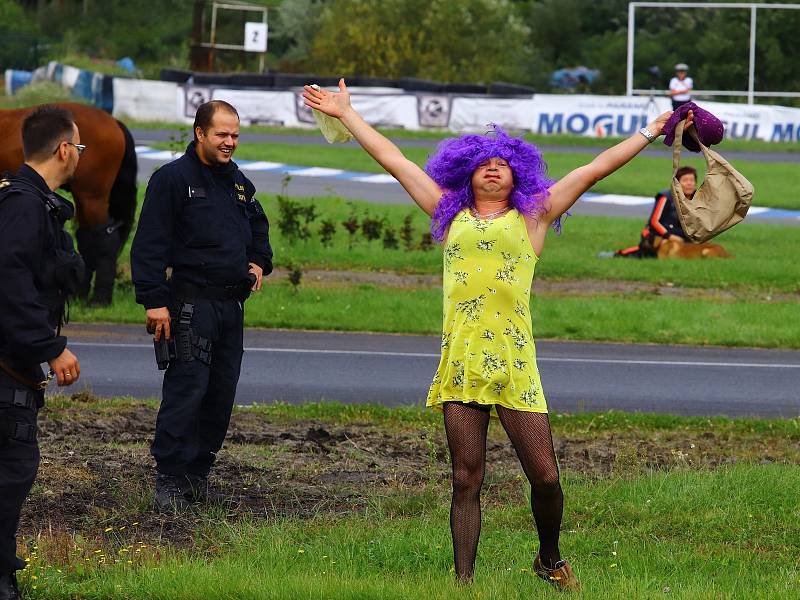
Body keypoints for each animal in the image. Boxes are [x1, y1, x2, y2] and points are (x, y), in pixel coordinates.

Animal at [0, 102, 138, 304]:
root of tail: (114, 122)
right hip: (84, 198)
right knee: (88, 238)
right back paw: (79, 294)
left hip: (93, 197)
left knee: (105, 240)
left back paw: (99, 299)